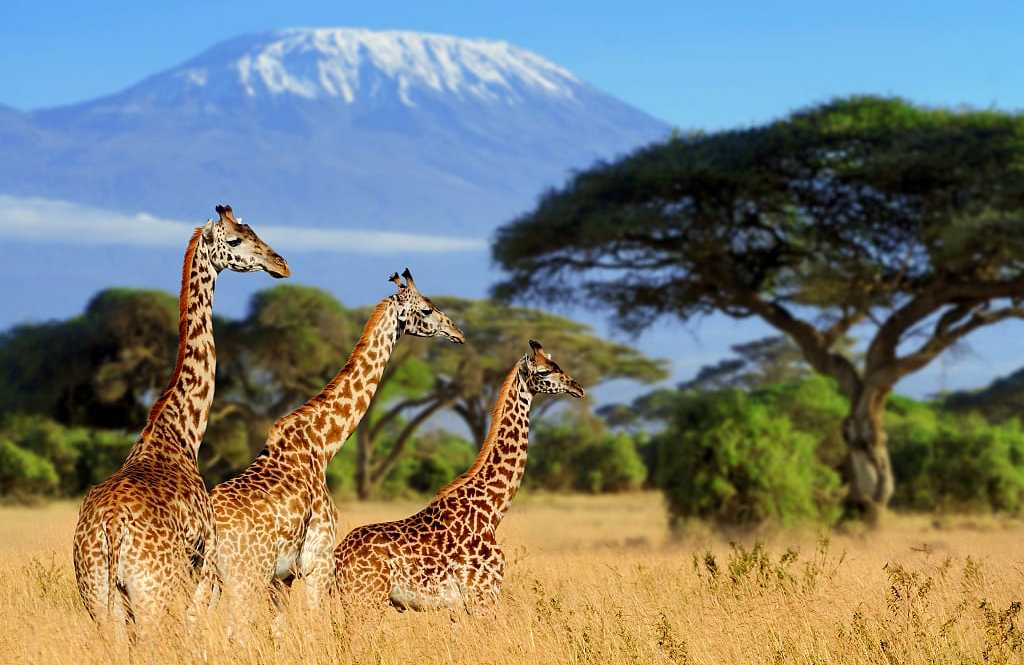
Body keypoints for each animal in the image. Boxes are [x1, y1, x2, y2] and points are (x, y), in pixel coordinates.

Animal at [73, 205, 289, 632]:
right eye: (236, 239)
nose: (281, 264)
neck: (181, 431)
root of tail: (111, 527)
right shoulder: (204, 568)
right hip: (154, 594)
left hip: (99, 599)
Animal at [206, 269, 464, 622]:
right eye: (426, 309)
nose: (457, 333)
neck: (322, 445)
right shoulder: (318, 562)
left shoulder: (284, 576)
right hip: (245, 575)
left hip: (208, 579)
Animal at [333, 339, 584, 611]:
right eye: (545, 371)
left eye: (557, 365)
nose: (578, 388)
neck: (491, 511)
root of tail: (337, 557)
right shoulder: (483, 595)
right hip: (366, 598)